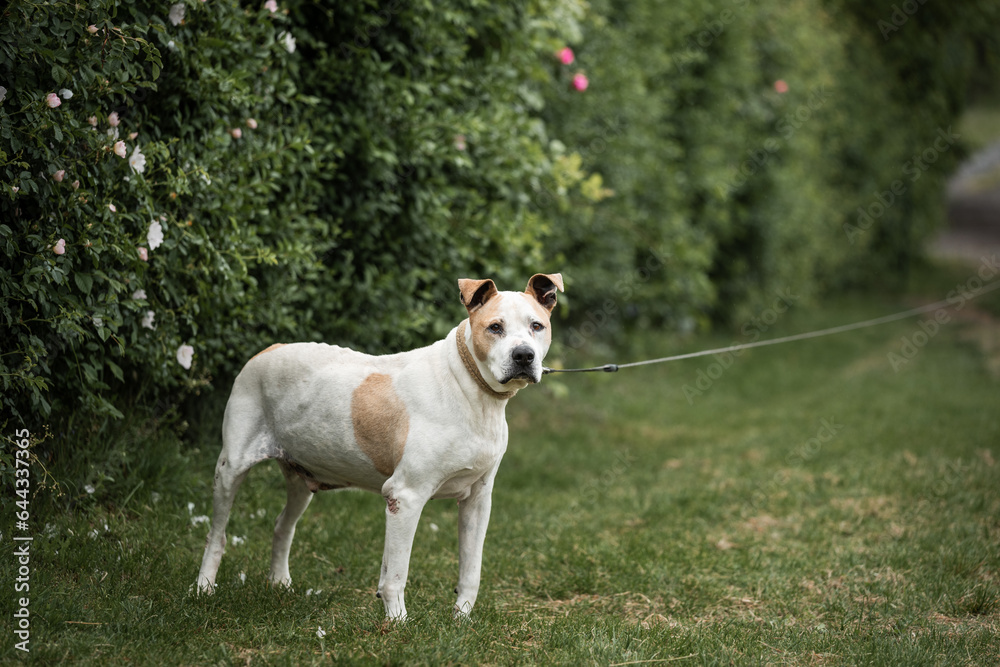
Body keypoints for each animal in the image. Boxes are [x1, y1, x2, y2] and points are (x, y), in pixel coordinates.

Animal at [191, 272, 560, 620]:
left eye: (536, 326)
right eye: (495, 327)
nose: (524, 355)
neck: (470, 389)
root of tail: (268, 349)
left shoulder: (478, 500)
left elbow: (471, 570)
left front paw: (461, 620)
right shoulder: (405, 497)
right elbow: (396, 574)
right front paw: (398, 623)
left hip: (301, 477)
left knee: (283, 525)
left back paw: (280, 584)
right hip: (230, 468)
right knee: (217, 533)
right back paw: (204, 588)